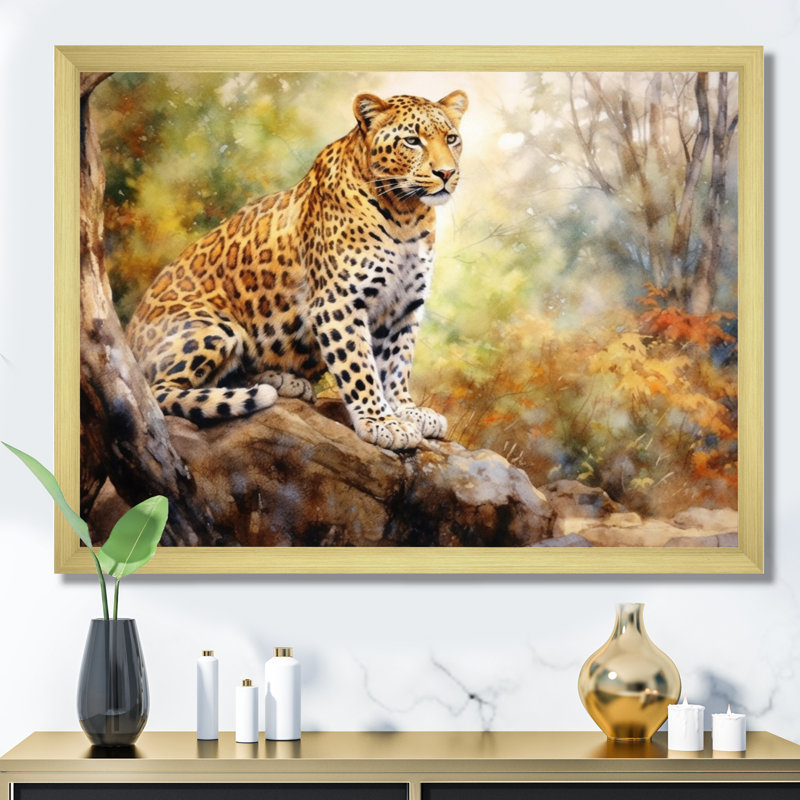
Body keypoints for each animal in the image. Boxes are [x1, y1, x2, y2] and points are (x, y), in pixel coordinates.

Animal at [125, 89, 468, 451]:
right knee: (159, 392)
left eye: (451, 138)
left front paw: (407, 411)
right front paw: (381, 421)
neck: (406, 213)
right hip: (214, 329)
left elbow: (397, 363)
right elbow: (359, 366)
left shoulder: (404, 306)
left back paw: (282, 381)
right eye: (412, 141)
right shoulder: (339, 302)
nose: (446, 173)